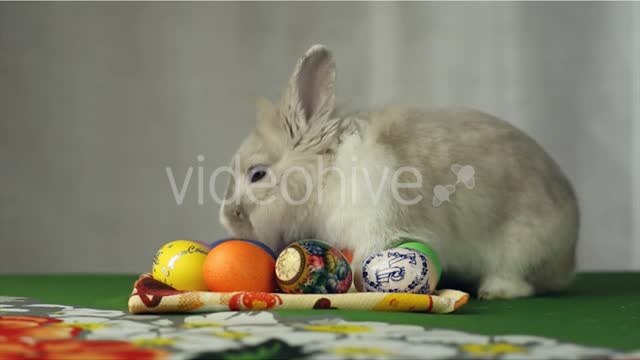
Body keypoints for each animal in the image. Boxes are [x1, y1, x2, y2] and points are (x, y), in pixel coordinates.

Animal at [220, 44, 580, 298]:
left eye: (257, 174)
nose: (227, 217)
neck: (328, 174)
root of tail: (569, 254)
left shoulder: (381, 227)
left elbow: (365, 260)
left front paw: (354, 287)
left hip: (521, 246)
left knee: (518, 280)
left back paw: (495, 291)